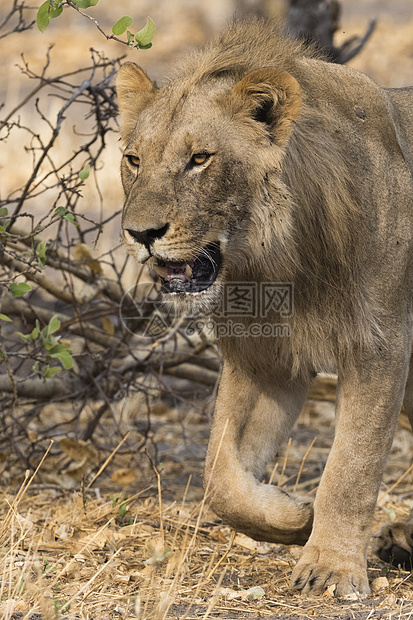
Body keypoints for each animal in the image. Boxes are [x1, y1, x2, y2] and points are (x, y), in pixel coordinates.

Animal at [115, 20, 412, 596]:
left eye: (200, 159)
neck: (277, 260)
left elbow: (352, 466)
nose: (140, 234)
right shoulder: (266, 359)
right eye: (134, 160)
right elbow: (220, 477)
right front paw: (295, 518)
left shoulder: (380, 345)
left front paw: (331, 567)